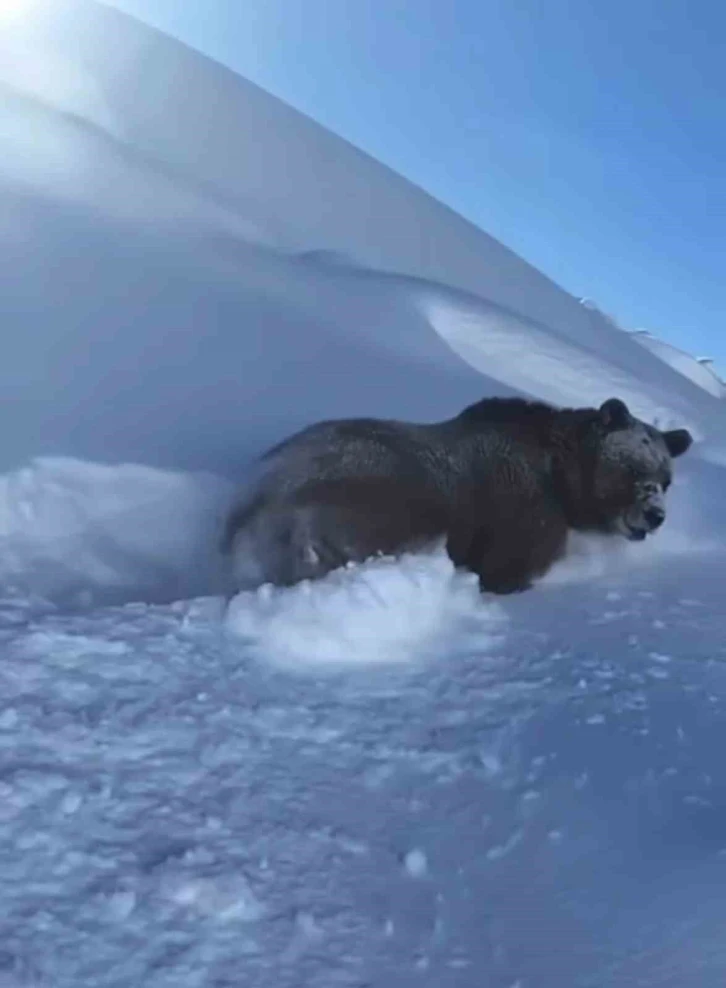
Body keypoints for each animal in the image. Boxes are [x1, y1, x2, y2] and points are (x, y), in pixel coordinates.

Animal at [222, 394, 692, 596]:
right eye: (634, 468)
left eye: (666, 478)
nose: (655, 514)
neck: (562, 478)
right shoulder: (522, 518)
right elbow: (508, 568)